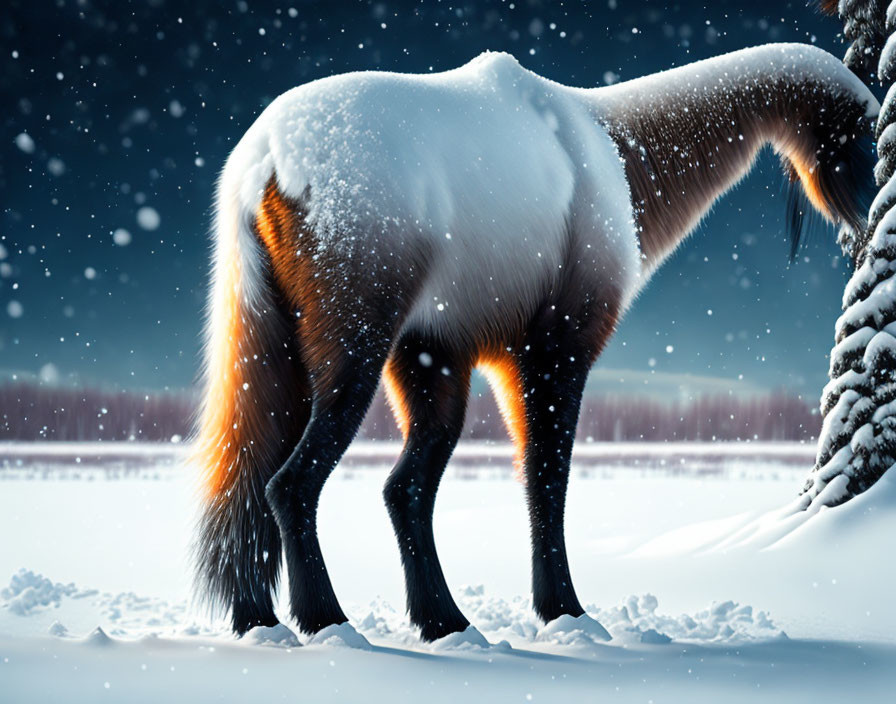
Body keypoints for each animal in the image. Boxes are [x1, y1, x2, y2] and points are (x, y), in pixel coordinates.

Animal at [194, 41, 876, 640]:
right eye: (860, 136)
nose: (865, 227)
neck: (615, 146)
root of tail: (269, 159)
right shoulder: (555, 352)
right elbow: (548, 479)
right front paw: (565, 613)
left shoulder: (451, 355)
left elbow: (495, 480)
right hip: (354, 353)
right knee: (291, 484)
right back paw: (329, 622)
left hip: (335, 360)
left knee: (334, 484)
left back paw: (390, 622)